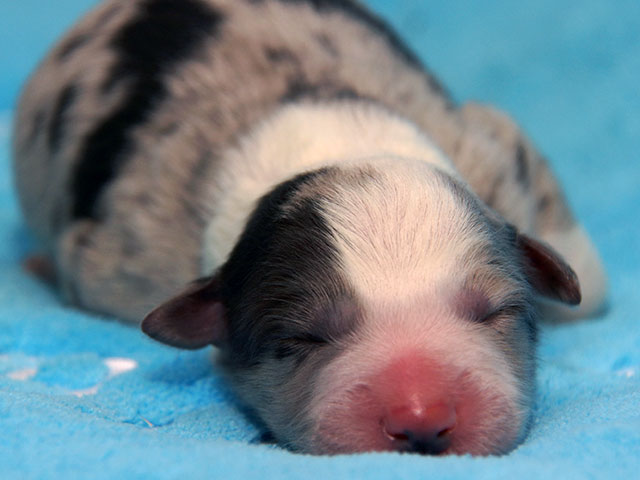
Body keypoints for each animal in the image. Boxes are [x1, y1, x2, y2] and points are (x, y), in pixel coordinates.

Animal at [12, 0, 607, 455]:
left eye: (495, 313)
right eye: (300, 339)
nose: (422, 418)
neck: (334, 141)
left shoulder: (491, 149)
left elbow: (589, 284)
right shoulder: (119, 256)